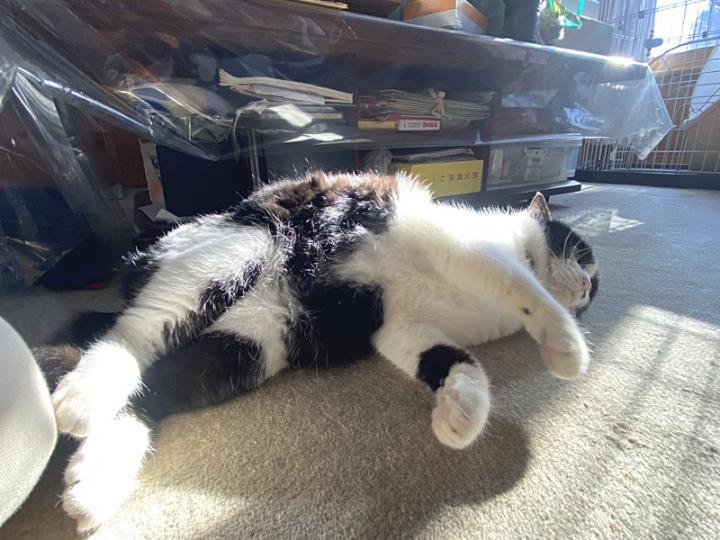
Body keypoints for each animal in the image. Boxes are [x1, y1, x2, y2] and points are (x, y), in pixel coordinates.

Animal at [43, 171, 598, 532]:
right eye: (584, 255)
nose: (591, 289)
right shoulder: (462, 249)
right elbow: (523, 287)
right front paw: (567, 347)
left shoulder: (399, 326)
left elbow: (451, 359)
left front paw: (460, 415)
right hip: (238, 249)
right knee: (132, 335)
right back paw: (82, 400)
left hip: (256, 341)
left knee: (153, 390)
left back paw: (90, 486)